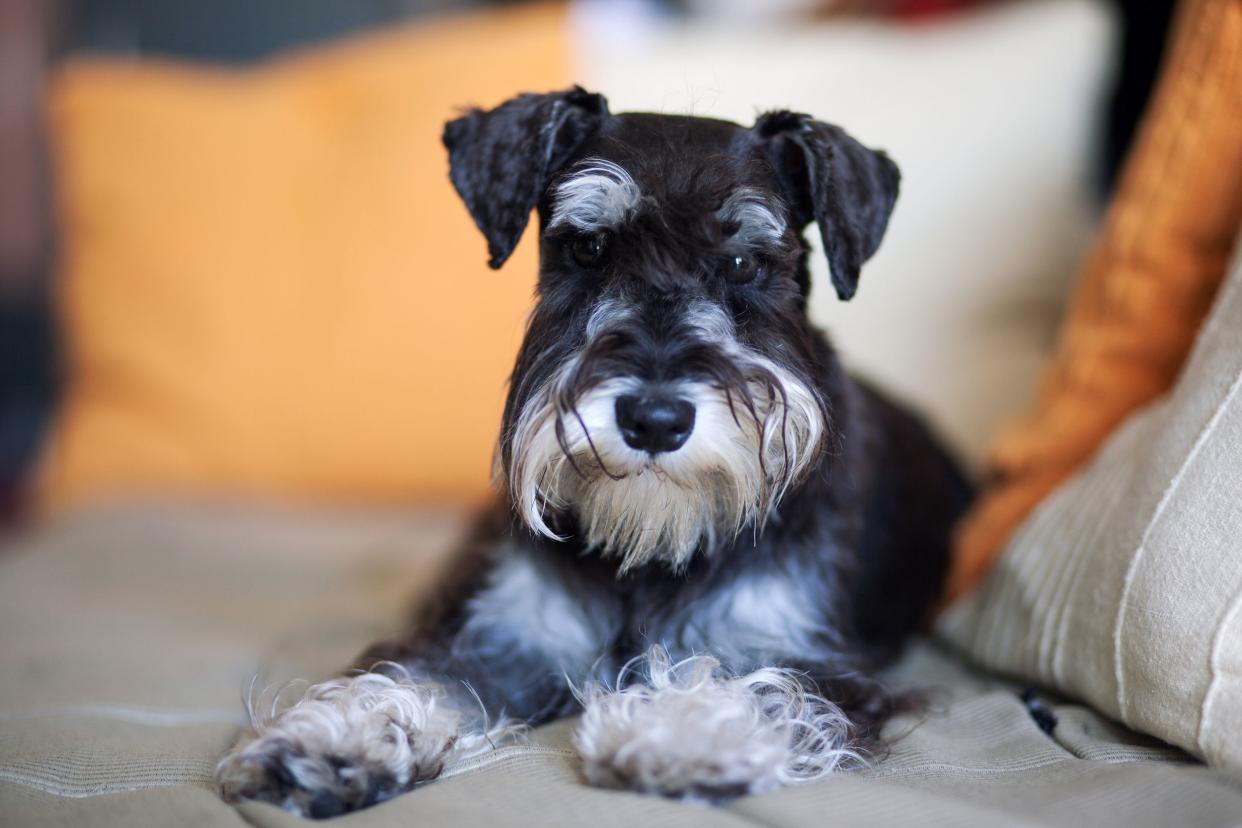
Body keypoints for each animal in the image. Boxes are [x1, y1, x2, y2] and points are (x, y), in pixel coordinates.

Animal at [216, 89, 968, 814]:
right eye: (588, 249)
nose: (655, 419)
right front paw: (335, 740)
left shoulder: (807, 653)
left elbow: (766, 687)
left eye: (745, 263)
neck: (647, 550)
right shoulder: (504, 636)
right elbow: (417, 674)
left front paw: (680, 731)